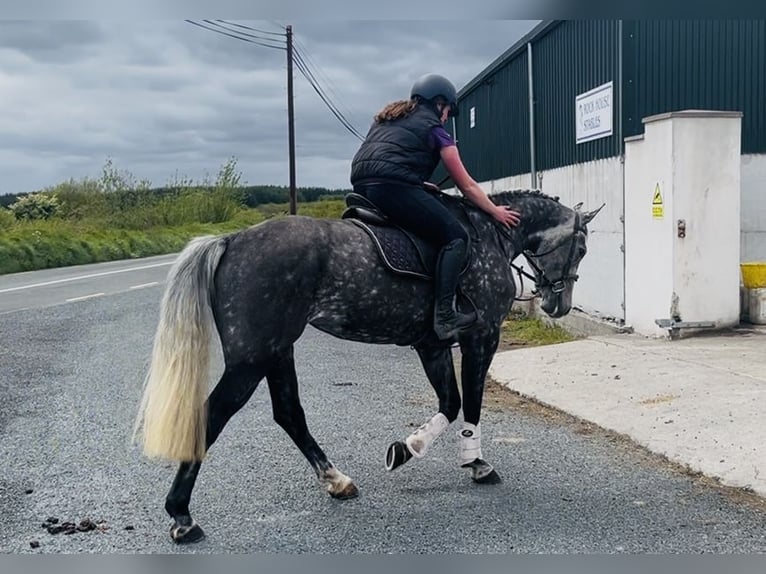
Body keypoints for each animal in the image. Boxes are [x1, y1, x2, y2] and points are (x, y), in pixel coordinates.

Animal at [133, 188, 603, 543]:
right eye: (580, 248)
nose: (557, 305)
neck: (490, 234)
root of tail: (231, 240)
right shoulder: (481, 337)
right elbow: (469, 403)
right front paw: (477, 463)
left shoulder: (431, 346)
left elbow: (449, 403)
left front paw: (407, 448)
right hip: (252, 358)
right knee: (214, 414)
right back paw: (182, 516)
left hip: (276, 350)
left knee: (289, 413)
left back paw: (336, 480)